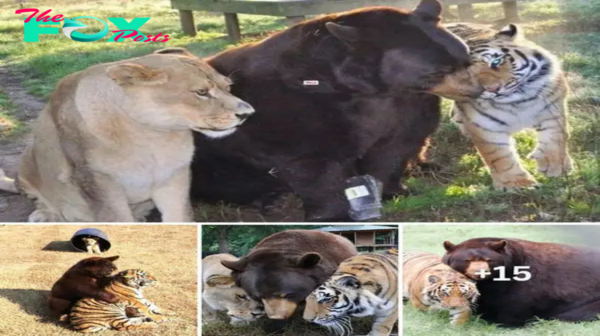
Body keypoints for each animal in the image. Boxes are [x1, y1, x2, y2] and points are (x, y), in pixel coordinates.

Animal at [8, 46, 254, 220]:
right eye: (201, 92)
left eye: (228, 87)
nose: (248, 114)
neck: (152, 136)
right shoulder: (99, 185)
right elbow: (116, 220)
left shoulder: (174, 178)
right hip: (28, 161)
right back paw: (44, 215)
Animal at [186, 0, 482, 223]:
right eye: (438, 71)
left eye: (466, 61)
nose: (478, 90)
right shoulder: (297, 106)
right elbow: (313, 160)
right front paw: (334, 213)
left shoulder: (405, 104)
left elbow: (396, 145)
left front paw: (393, 189)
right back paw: (270, 199)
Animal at [446, 22, 572, 190]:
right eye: (466, 75)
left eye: (496, 62)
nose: (492, 89)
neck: (516, 103)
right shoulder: (485, 127)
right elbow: (499, 156)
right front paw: (517, 183)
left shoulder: (552, 109)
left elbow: (555, 138)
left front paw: (555, 166)